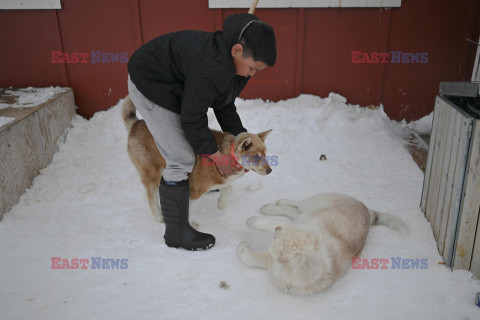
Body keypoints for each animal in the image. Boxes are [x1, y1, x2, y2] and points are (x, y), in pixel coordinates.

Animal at [236, 192, 404, 296]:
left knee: (293, 211)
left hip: (313, 207)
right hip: (315, 203)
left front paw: (245, 239)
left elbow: (252, 258)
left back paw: (271, 207)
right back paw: (278, 203)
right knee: (297, 205)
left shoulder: (274, 262)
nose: (278, 229)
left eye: (280, 236)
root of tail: (367, 212)